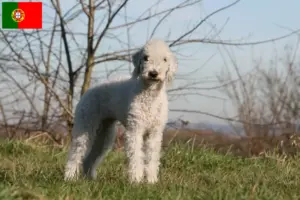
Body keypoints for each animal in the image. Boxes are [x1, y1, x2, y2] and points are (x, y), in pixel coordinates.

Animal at [63, 38, 176, 183]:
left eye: (165, 59)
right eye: (146, 57)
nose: (153, 73)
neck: (149, 95)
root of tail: (88, 92)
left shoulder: (154, 133)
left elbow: (152, 158)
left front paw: (151, 181)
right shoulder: (135, 129)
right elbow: (136, 155)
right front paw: (136, 180)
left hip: (104, 132)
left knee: (90, 158)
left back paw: (91, 179)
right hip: (86, 124)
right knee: (76, 152)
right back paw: (69, 177)